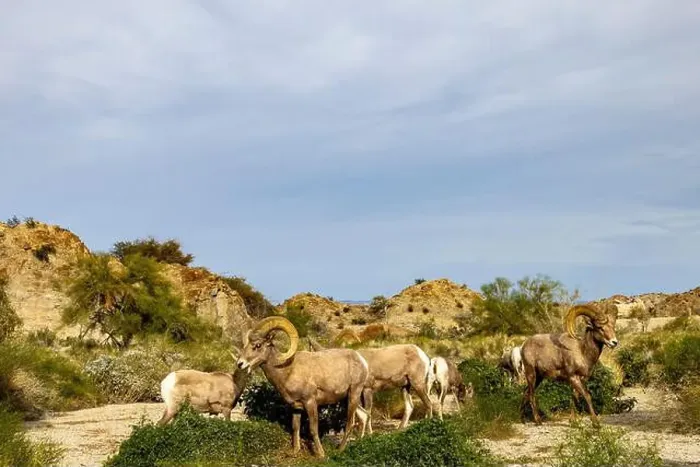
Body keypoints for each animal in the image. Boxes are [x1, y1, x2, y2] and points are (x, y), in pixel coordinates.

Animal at [236, 316, 369, 459]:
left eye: (258, 345)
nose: (240, 363)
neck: (287, 370)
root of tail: (362, 361)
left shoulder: (310, 402)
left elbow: (313, 429)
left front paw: (321, 454)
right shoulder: (296, 407)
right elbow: (295, 427)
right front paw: (295, 451)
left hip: (354, 393)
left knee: (350, 423)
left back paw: (340, 450)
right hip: (346, 399)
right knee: (363, 416)